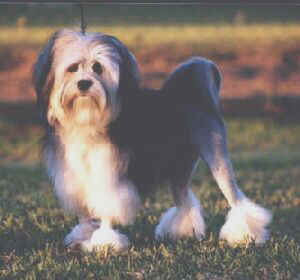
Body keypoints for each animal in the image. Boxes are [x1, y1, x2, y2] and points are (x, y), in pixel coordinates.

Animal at [32, 29, 272, 252]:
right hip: (180, 168)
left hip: (216, 157)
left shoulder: (109, 176)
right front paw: (82, 235)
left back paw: (247, 235)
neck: (86, 120)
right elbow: (83, 211)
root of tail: (193, 94)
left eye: (97, 68)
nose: (83, 84)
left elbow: (108, 208)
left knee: (235, 198)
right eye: (72, 68)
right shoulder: (74, 178)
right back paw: (182, 231)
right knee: (184, 200)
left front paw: (105, 242)